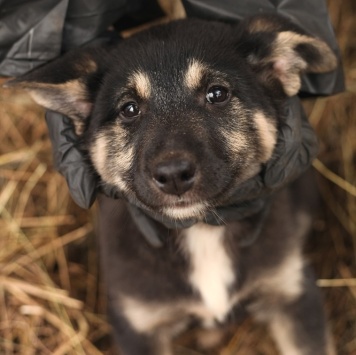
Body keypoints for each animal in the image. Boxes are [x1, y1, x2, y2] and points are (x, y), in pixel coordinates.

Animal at [6, 14, 338, 355]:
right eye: (129, 109)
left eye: (217, 94)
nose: (173, 174)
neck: (201, 230)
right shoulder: (139, 324)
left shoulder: (293, 294)